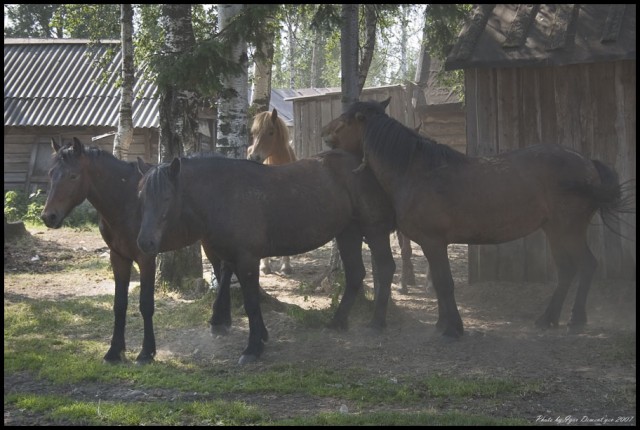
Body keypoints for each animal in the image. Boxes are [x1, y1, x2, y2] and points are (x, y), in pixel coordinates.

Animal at [39, 137, 232, 362]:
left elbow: (145, 305)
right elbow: (119, 304)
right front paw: (114, 351)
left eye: (73, 175)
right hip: (208, 241)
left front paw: (146, 352)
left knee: (226, 270)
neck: (127, 202)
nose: (48, 217)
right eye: (51, 173)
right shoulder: (118, 257)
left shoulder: (146, 257)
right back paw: (222, 321)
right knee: (223, 271)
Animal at [138, 149, 398, 364]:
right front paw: (260, 336)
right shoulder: (234, 260)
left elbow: (251, 304)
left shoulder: (247, 260)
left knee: (385, 268)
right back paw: (337, 323)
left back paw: (376, 323)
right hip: (347, 232)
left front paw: (252, 348)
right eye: (140, 196)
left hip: (373, 229)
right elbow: (243, 296)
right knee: (355, 274)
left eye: (167, 198)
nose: (145, 242)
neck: (225, 194)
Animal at [324, 98, 632, 340]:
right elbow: (439, 284)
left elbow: (444, 283)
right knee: (569, 270)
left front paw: (453, 329)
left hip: (566, 230)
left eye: (346, 120)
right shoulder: (430, 244)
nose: (326, 134)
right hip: (556, 231)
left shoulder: (434, 242)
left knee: (586, 265)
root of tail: (588, 163)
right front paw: (442, 324)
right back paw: (548, 319)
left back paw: (575, 319)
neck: (416, 172)